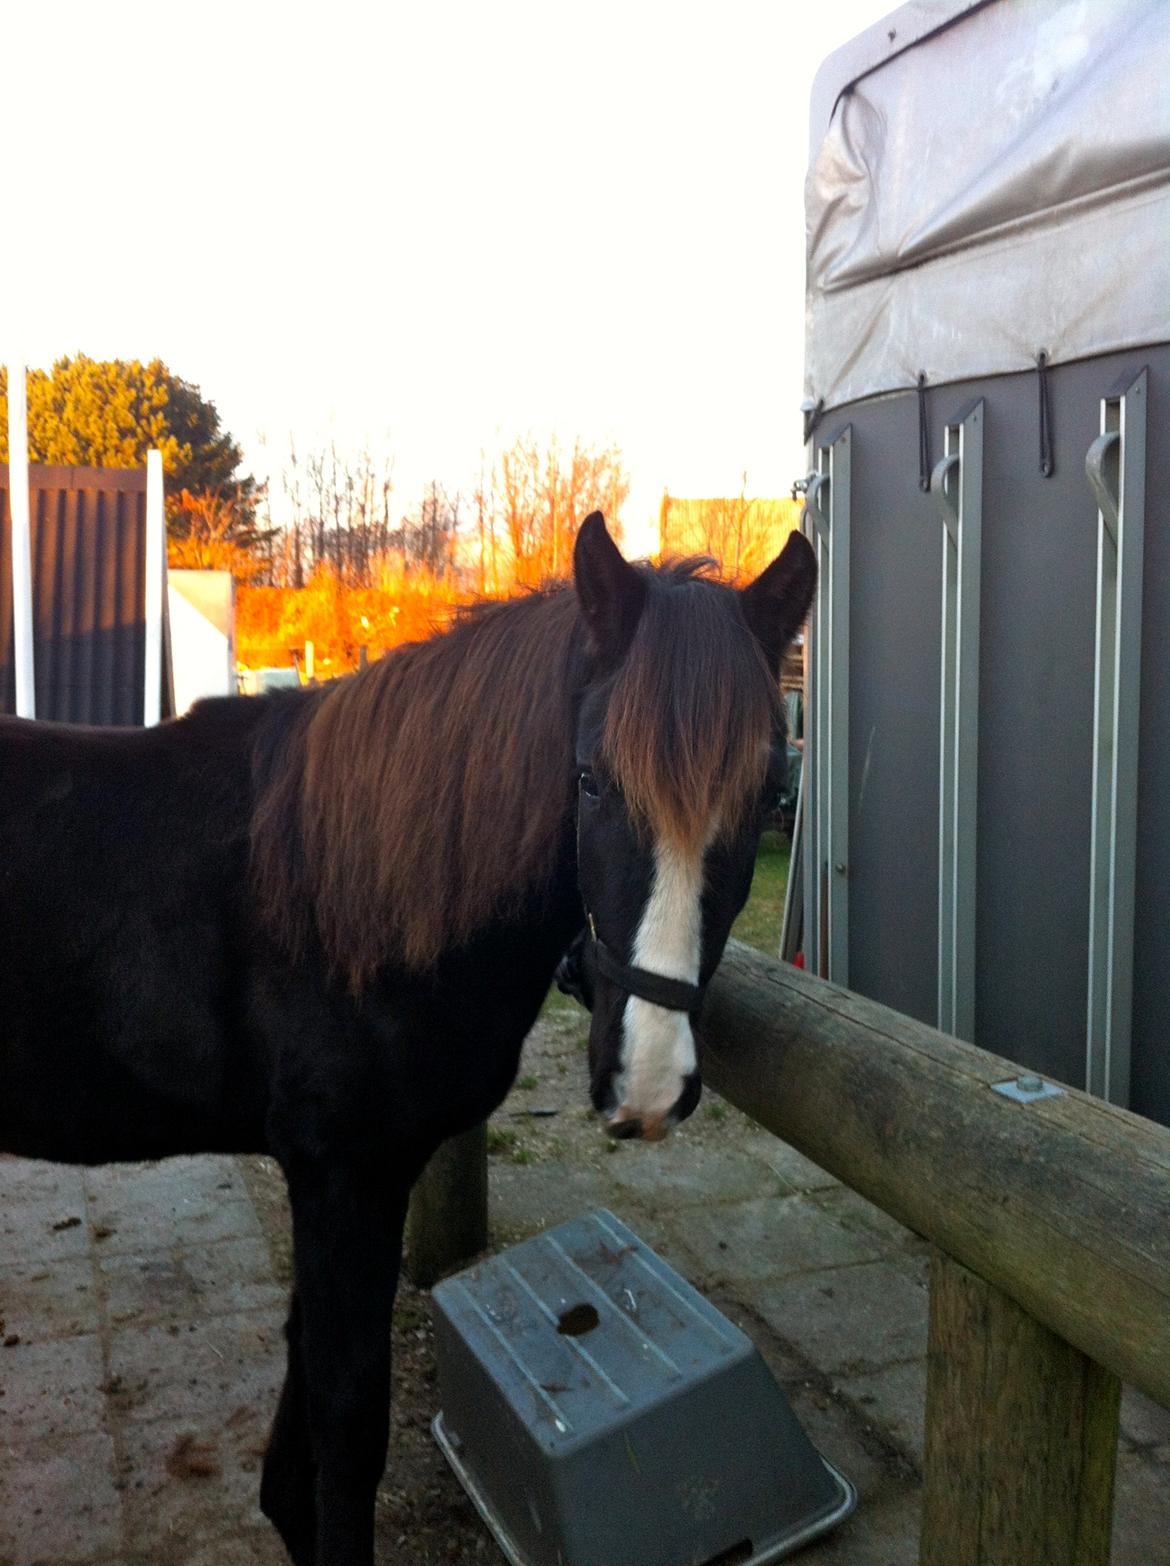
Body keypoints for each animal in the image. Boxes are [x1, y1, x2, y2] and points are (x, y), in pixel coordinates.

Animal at [0, 516, 814, 1566]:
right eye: (591, 781)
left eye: (765, 795)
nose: (646, 1084)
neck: (343, 895)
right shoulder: (344, 1174)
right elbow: (350, 1427)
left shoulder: (346, 1182)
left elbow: (303, 1429)